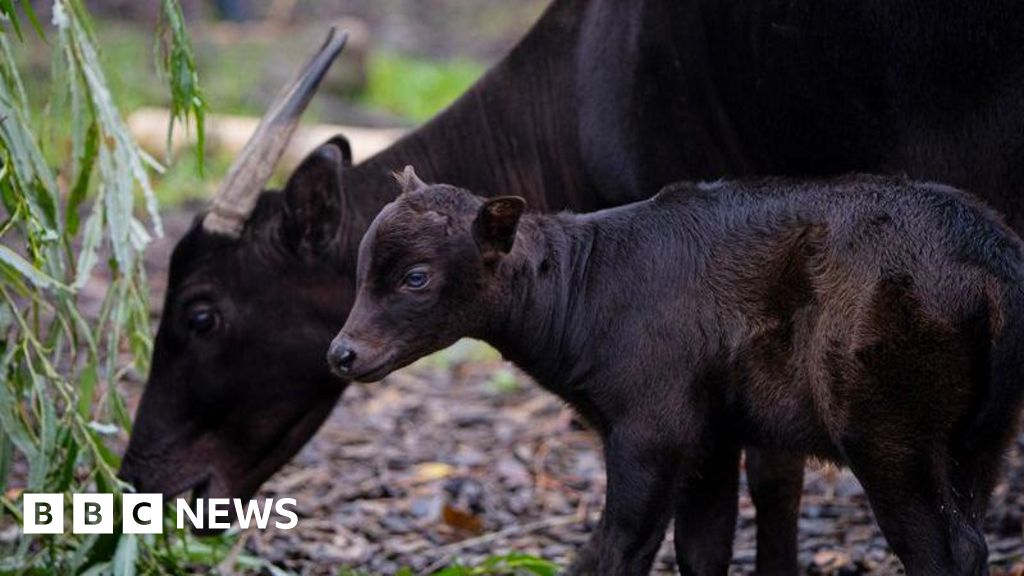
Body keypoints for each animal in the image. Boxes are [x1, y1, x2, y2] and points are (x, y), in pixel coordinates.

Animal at [327, 168, 1024, 569]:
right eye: (360, 267)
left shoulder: (652, 429)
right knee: (971, 543)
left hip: (885, 427)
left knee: (938, 550)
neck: (584, 290)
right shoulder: (711, 439)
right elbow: (702, 550)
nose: (342, 353)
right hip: (981, 439)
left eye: (416, 277)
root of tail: (990, 253)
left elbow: (623, 544)